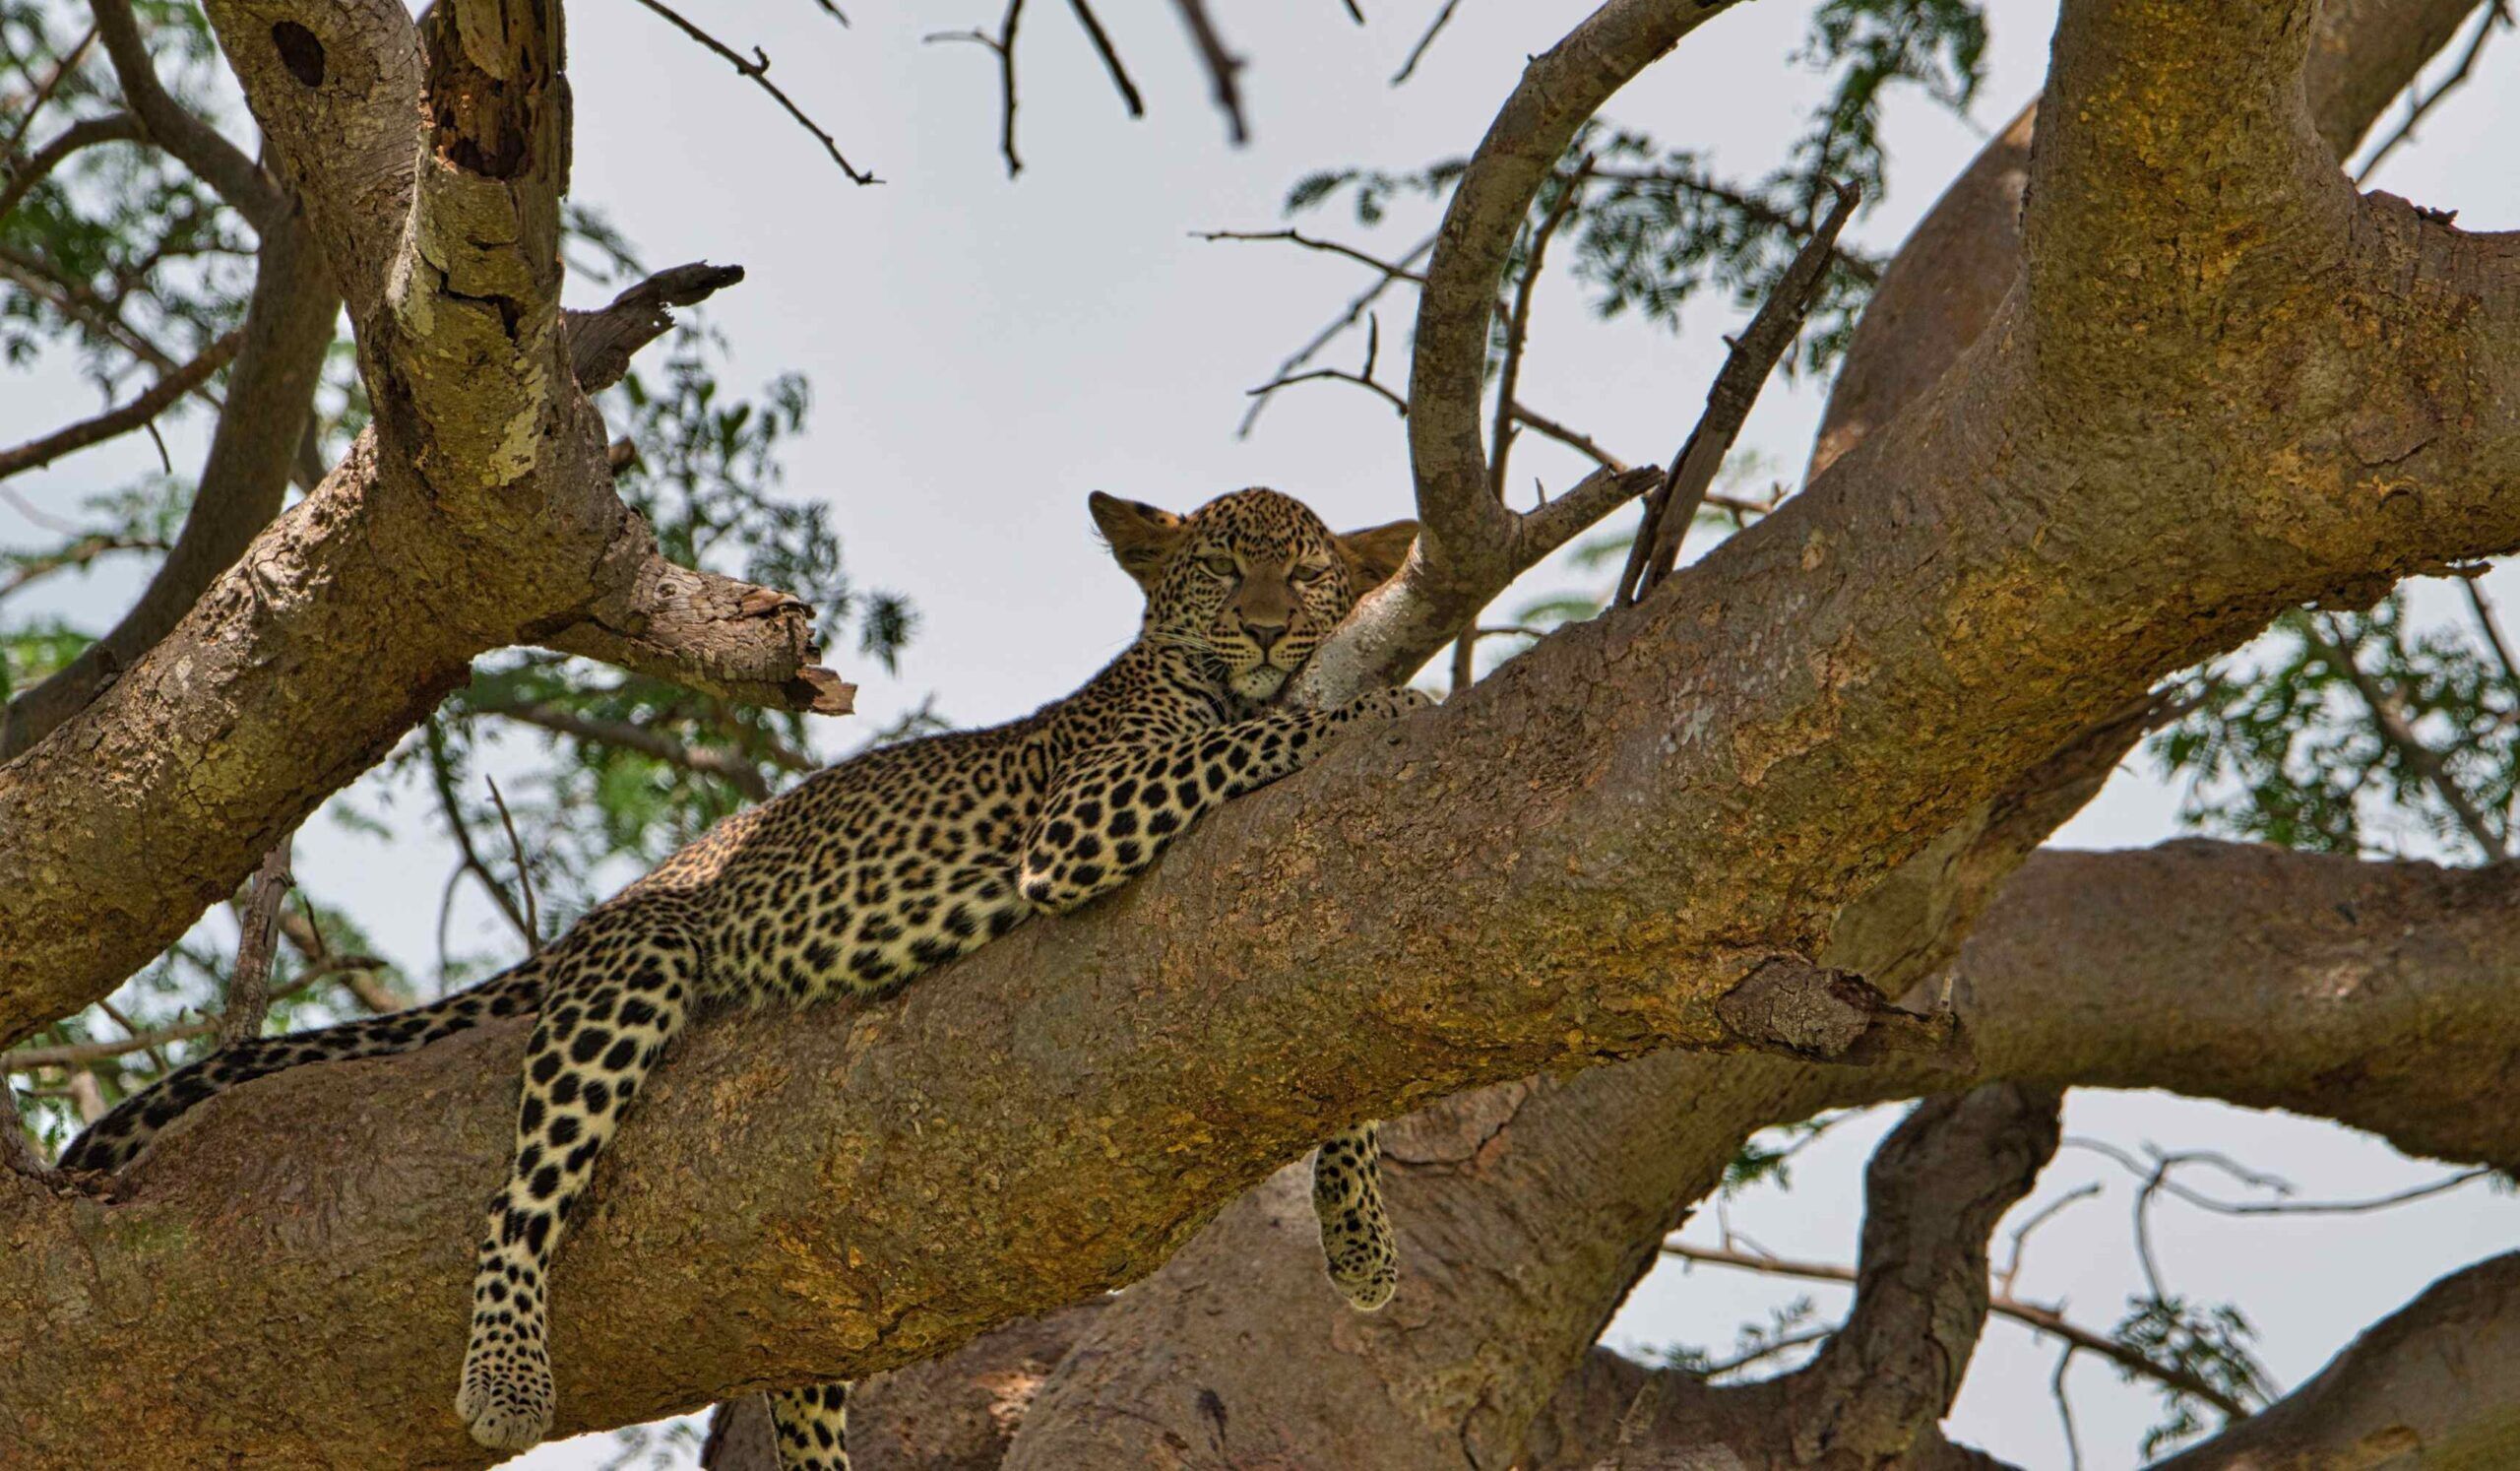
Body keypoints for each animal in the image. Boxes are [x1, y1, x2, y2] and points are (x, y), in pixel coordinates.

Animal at [59, 488, 1431, 1460]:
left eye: (1307, 573)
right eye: (1220, 571)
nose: (1269, 627)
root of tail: (637, 884)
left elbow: (1347, 1066)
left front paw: (1360, 1238)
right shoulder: (1082, 816)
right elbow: (1253, 738)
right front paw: (1367, 712)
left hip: (795, 1294)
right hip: (636, 969)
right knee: (518, 1200)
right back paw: (504, 1375)